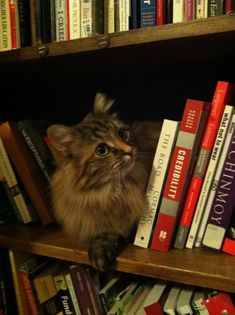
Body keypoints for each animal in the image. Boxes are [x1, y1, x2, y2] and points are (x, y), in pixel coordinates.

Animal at [47, 93, 162, 272]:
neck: (113, 190)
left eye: (121, 134)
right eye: (102, 150)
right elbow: (106, 232)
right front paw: (101, 248)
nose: (130, 151)